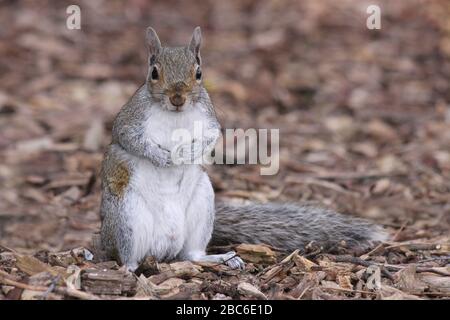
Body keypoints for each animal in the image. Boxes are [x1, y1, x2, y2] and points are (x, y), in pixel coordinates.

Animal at [98, 26, 386, 270]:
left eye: (198, 72)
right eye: (154, 73)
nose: (178, 98)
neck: (175, 114)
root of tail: (163, 250)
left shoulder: (208, 119)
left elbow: (211, 136)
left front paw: (189, 153)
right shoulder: (130, 119)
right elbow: (129, 138)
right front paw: (161, 156)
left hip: (202, 205)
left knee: (191, 255)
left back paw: (220, 258)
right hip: (127, 216)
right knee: (129, 256)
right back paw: (127, 268)